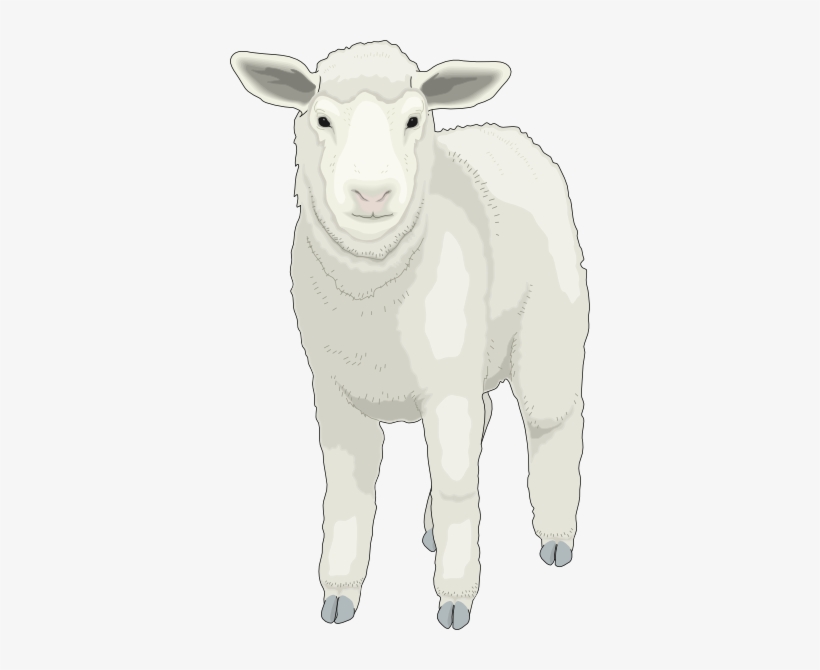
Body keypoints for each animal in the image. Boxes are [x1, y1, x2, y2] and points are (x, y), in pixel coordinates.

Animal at [230, 41, 589, 630]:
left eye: (415, 119)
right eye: (322, 119)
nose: (372, 194)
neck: (371, 291)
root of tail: (510, 132)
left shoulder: (446, 385)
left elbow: (455, 485)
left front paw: (455, 599)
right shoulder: (334, 391)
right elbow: (347, 494)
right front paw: (340, 594)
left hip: (548, 326)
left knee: (551, 419)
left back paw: (556, 538)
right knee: (486, 414)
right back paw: (432, 532)